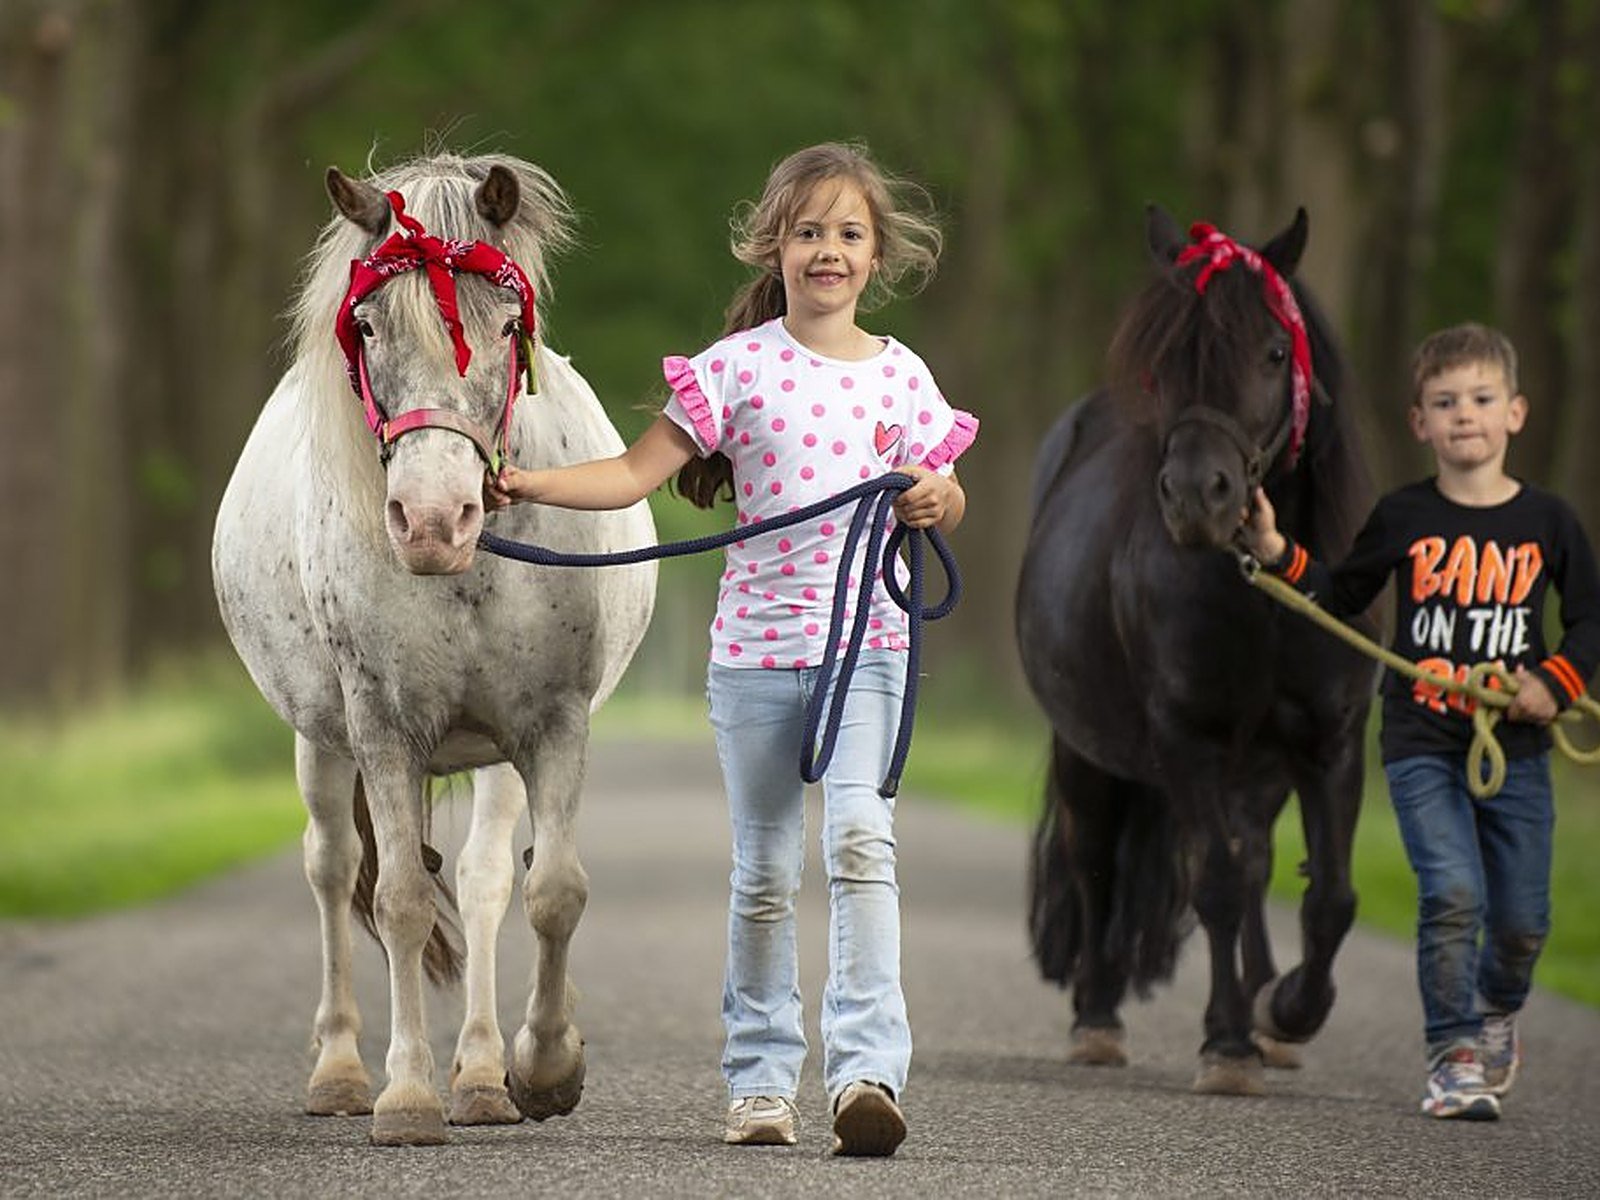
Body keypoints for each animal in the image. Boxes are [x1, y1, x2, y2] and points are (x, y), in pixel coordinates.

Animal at [212, 152, 656, 1144]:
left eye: (508, 325)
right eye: (370, 325)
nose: (430, 520)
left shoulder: (550, 726)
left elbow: (550, 890)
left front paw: (544, 1069)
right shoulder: (384, 728)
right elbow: (400, 902)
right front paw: (407, 1096)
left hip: (489, 753)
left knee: (488, 880)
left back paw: (485, 1076)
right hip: (322, 741)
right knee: (335, 868)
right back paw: (342, 1069)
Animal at [1014, 207, 1375, 1094]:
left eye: (1276, 352)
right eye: (1163, 363)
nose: (1196, 497)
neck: (1268, 593)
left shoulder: (1332, 741)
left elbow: (1332, 897)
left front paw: (1286, 1011)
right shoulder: (1189, 737)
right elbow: (1212, 879)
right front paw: (1229, 1042)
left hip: (1258, 769)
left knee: (1257, 861)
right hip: (1089, 752)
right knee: (1097, 858)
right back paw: (1098, 1015)